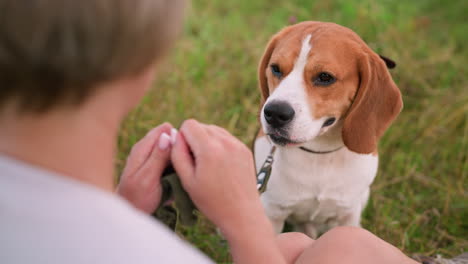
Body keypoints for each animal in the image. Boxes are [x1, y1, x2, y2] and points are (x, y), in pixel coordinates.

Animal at [254, 21, 404, 238]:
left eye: (325, 77)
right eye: (275, 69)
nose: (274, 113)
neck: (319, 155)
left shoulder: (347, 216)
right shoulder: (272, 213)